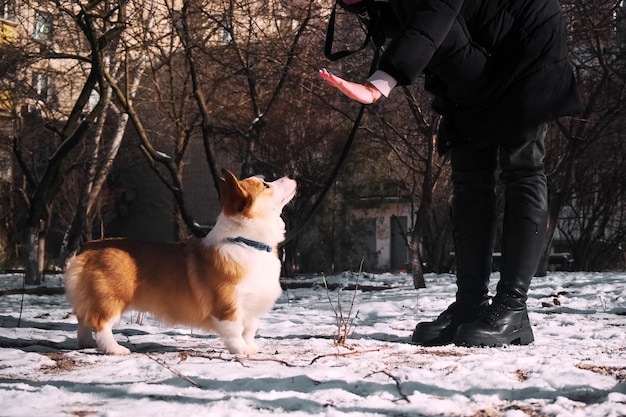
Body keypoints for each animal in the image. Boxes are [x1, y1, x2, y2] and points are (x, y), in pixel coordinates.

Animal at [64, 169, 296, 354]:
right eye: (265, 185)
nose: (291, 175)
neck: (246, 242)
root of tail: (86, 248)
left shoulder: (251, 308)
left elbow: (249, 331)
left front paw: (252, 347)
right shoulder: (228, 306)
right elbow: (235, 332)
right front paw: (242, 351)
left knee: (83, 320)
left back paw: (86, 343)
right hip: (112, 298)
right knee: (100, 323)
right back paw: (114, 349)